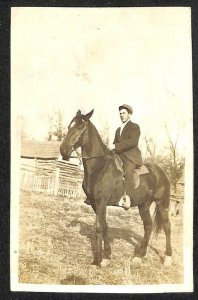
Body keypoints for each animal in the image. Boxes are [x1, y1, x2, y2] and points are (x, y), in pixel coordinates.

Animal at [60, 109, 172, 268]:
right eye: (70, 126)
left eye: (80, 126)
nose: (63, 150)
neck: (98, 166)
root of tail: (162, 172)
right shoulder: (95, 204)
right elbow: (105, 226)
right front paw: (107, 256)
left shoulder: (101, 202)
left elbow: (99, 228)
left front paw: (98, 261)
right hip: (144, 205)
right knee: (148, 226)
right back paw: (139, 256)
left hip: (163, 204)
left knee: (167, 227)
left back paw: (168, 258)